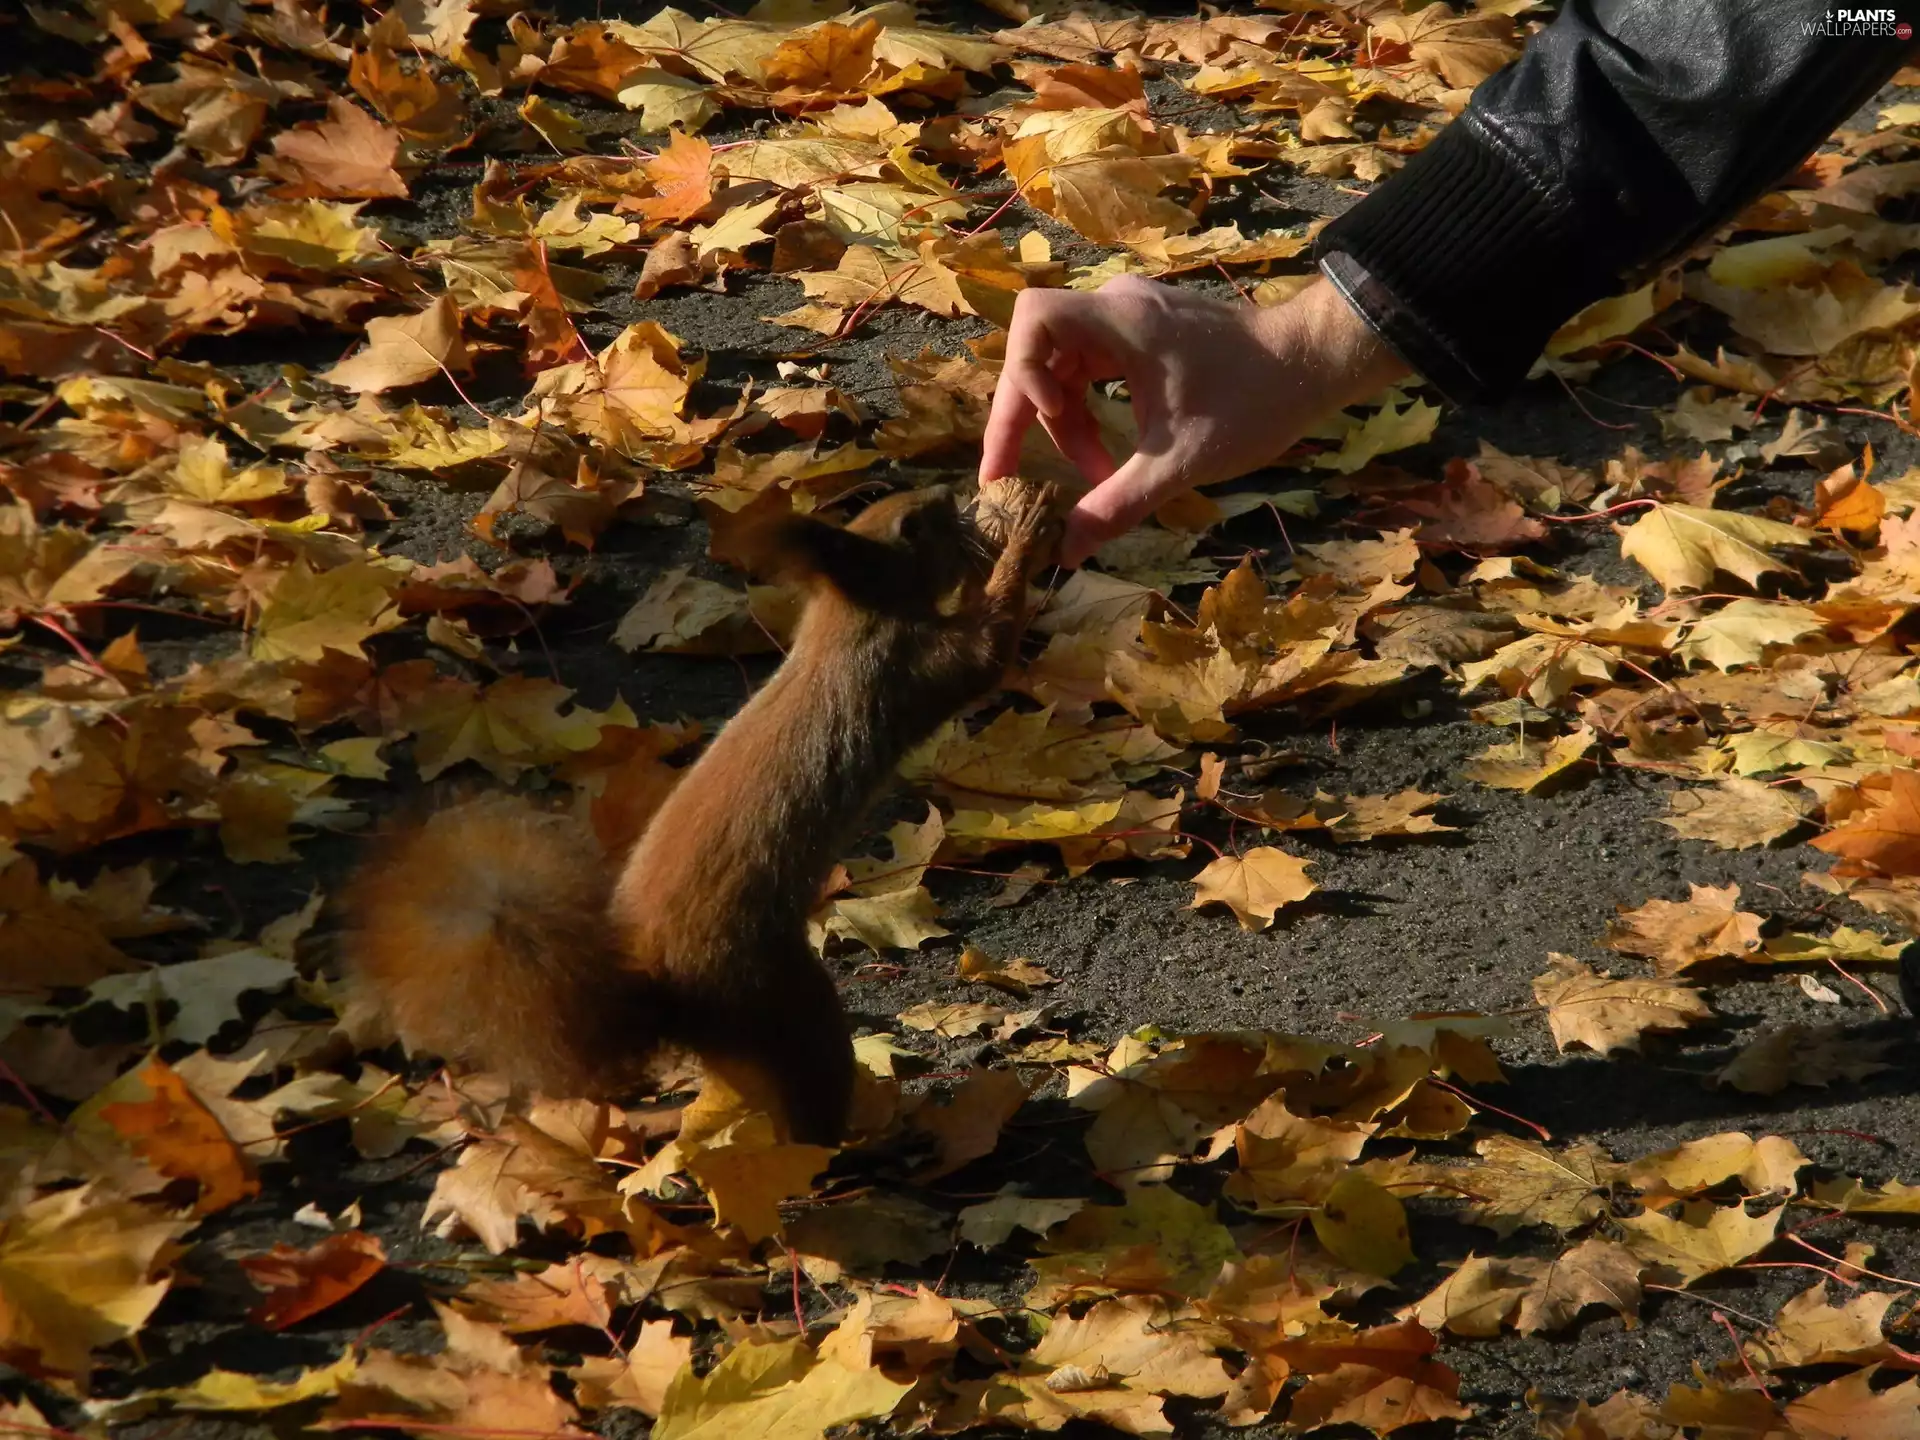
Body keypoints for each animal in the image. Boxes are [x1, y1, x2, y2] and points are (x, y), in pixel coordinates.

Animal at [341, 479, 1059, 1146]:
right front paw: (1026, 529)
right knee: (809, 1116)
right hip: (779, 1001)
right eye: (914, 524)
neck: (847, 622)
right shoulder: (915, 669)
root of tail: (669, 998)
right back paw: (860, 1145)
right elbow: (987, 651)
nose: (949, 494)